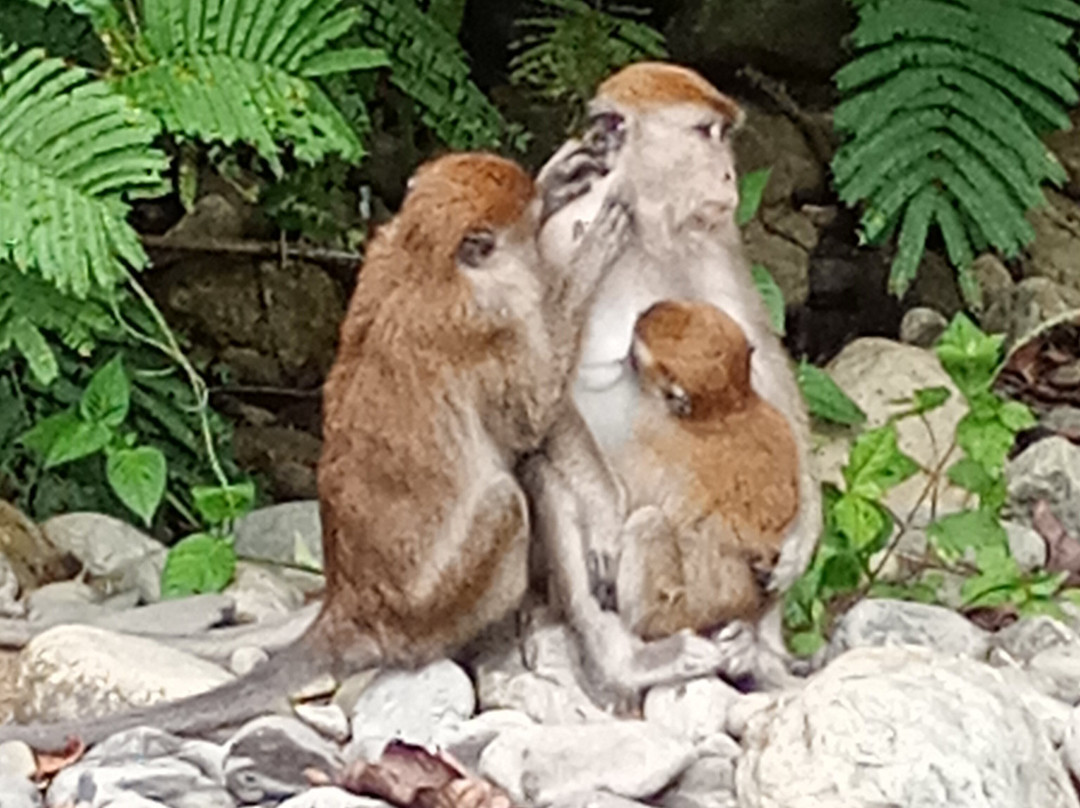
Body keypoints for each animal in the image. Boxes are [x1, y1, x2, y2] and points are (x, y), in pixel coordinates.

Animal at [0, 152, 637, 750]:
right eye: (527, 223)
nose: (544, 199)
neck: (425, 255)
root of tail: (348, 613)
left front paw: (560, 177)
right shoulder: (499, 319)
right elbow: (533, 417)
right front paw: (588, 259)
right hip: (438, 606)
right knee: (505, 501)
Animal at [611, 300, 800, 640]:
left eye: (635, 355)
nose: (624, 360)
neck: (725, 411)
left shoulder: (653, 428)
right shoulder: (778, 422)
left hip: (674, 610)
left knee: (647, 521)